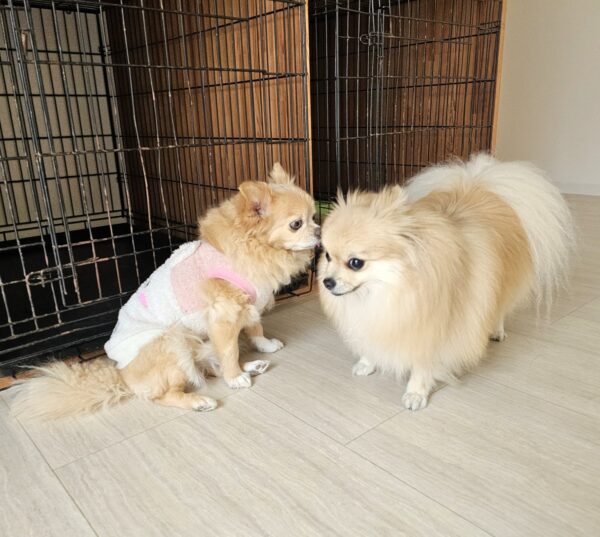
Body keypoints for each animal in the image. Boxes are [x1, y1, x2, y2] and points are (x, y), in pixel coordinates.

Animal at [12, 163, 319, 418]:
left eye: (314, 216)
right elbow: (230, 351)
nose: (318, 230)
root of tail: (123, 375)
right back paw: (201, 401)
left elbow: (255, 328)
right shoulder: (224, 316)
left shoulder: (250, 304)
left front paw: (264, 346)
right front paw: (235, 378)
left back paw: (252, 365)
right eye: (296, 224)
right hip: (173, 342)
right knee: (164, 394)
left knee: (209, 365)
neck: (258, 250)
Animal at [318, 154, 574, 410]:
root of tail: (484, 187)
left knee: (500, 307)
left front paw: (416, 392)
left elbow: (422, 362)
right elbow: (370, 341)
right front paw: (368, 362)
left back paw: (497, 330)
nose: (326, 282)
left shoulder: (434, 327)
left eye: (355, 263)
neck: (389, 291)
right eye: (328, 256)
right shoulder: (375, 321)